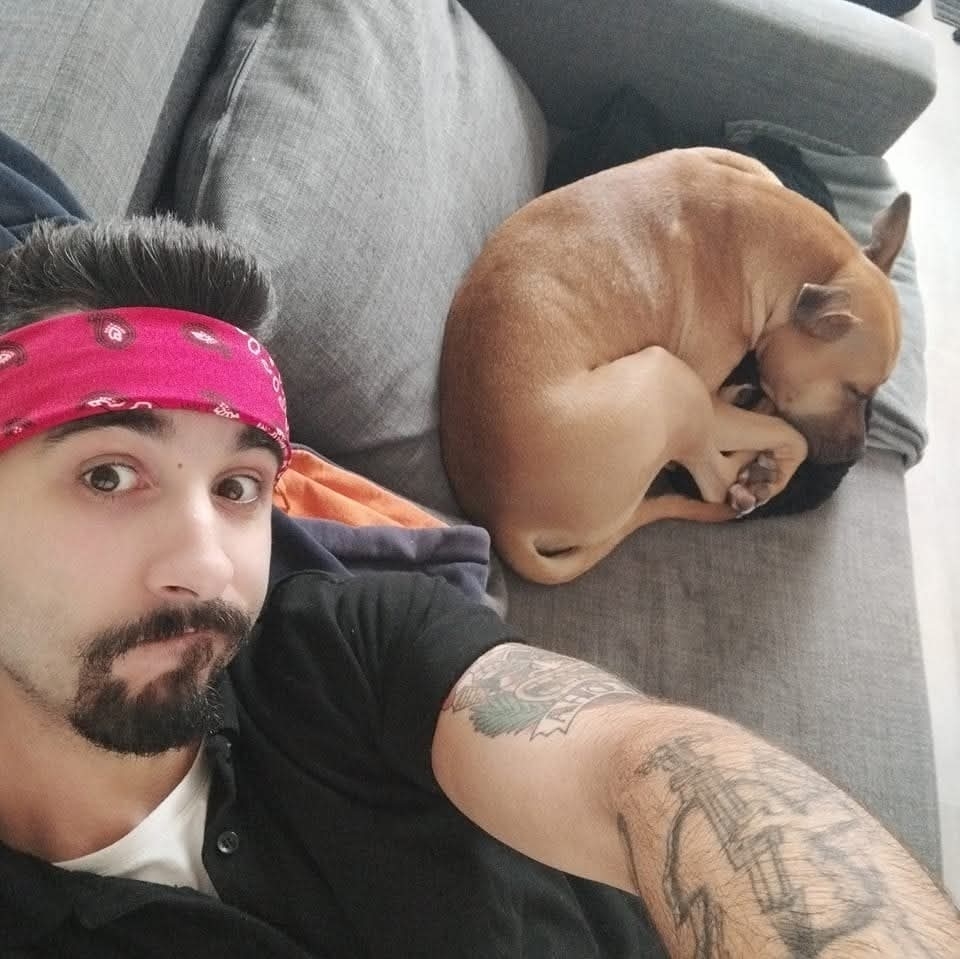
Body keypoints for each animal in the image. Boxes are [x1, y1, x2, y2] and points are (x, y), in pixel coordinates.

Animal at [438, 148, 909, 584]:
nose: (857, 454)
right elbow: (795, 437)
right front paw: (771, 469)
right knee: (717, 482)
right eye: (856, 392)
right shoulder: (710, 396)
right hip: (670, 380)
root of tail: (502, 522)